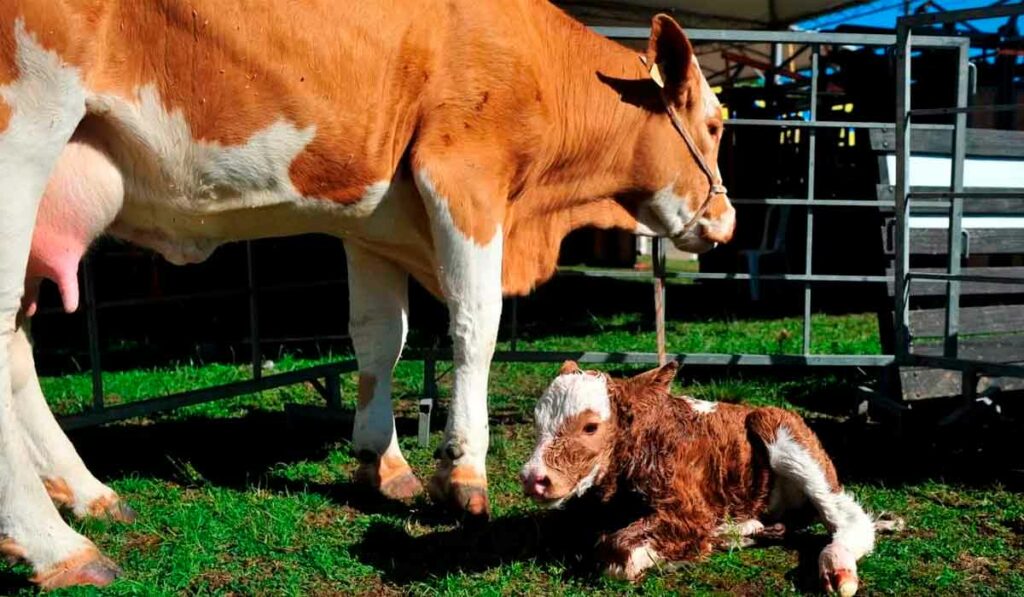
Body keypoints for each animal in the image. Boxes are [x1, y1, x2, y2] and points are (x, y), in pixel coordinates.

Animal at [2, 0, 737, 589]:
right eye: (716, 123)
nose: (727, 223)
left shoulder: (372, 216)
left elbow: (381, 337)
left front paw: (382, 462)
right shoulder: (464, 174)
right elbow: (475, 324)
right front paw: (462, 474)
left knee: (16, 347)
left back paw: (86, 492)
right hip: (27, 132)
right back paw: (56, 544)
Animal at [520, 362, 897, 593]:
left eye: (590, 426)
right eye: (537, 421)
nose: (533, 478)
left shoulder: (689, 509)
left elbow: (614, 551)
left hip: (785, 433)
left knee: (849, 519)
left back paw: (837, 568)